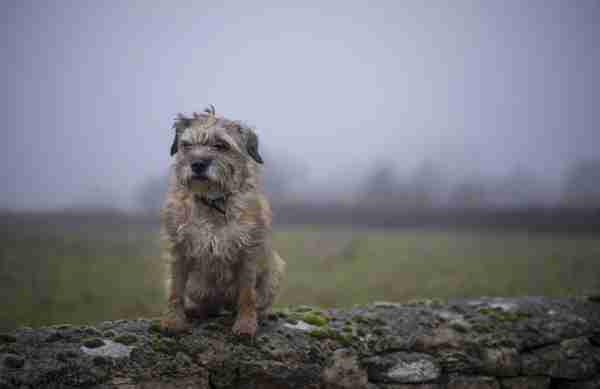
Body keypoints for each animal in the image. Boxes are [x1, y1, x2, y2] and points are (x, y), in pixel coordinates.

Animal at [159, 106, 286, 336]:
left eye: (221, 145)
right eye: (187, 145)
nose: (197, 164)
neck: (212, 202)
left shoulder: (248, 251)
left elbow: (247, 294)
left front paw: (245, 324)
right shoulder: (179, 248)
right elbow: (176, 290)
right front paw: (173, 321)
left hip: (275, 270)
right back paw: (194, 310)